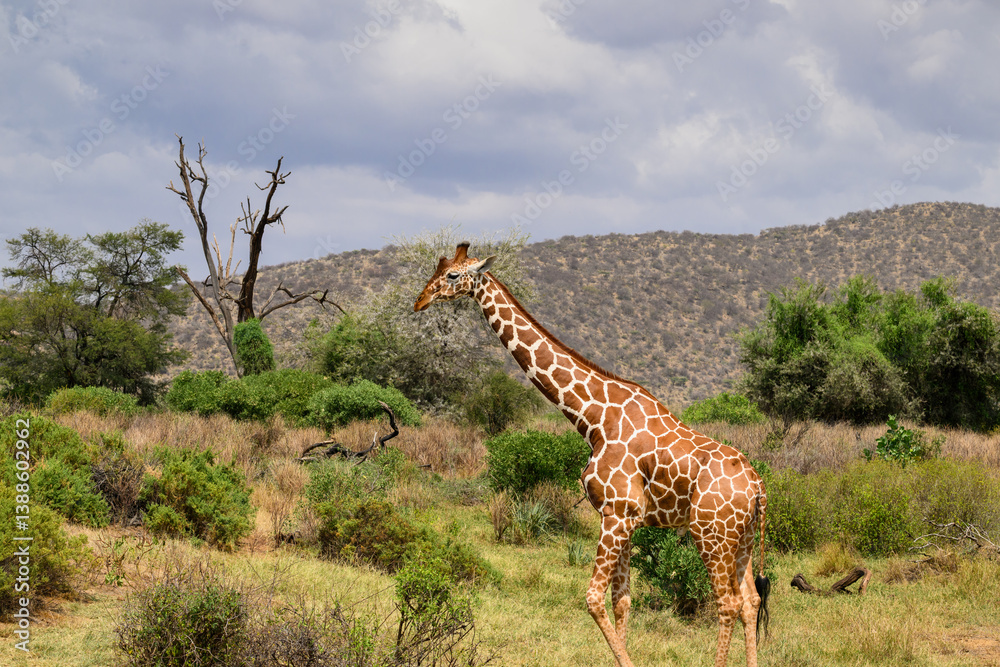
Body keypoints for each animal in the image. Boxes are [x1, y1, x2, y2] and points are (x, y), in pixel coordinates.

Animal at [414, 243, 770, 667]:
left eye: (453, 275)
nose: (419, 301)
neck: (595, 418)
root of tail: (758, 486)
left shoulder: (615, 514)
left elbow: (593, 599)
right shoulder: (627, 518)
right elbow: (622, 601)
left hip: (710, 533)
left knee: (727, 602)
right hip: (741, 537)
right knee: (750, 600)